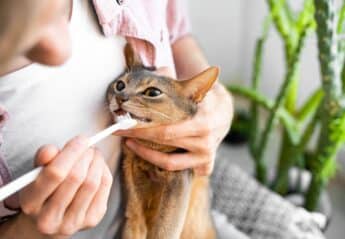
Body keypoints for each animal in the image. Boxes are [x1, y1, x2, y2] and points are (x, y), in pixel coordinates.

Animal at [106, 43, 218, 239]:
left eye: (153, 92)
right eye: (120, 85)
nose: (120, 97)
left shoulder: (179, 181)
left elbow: (164, 231)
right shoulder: (132, 177)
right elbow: (134, 226)